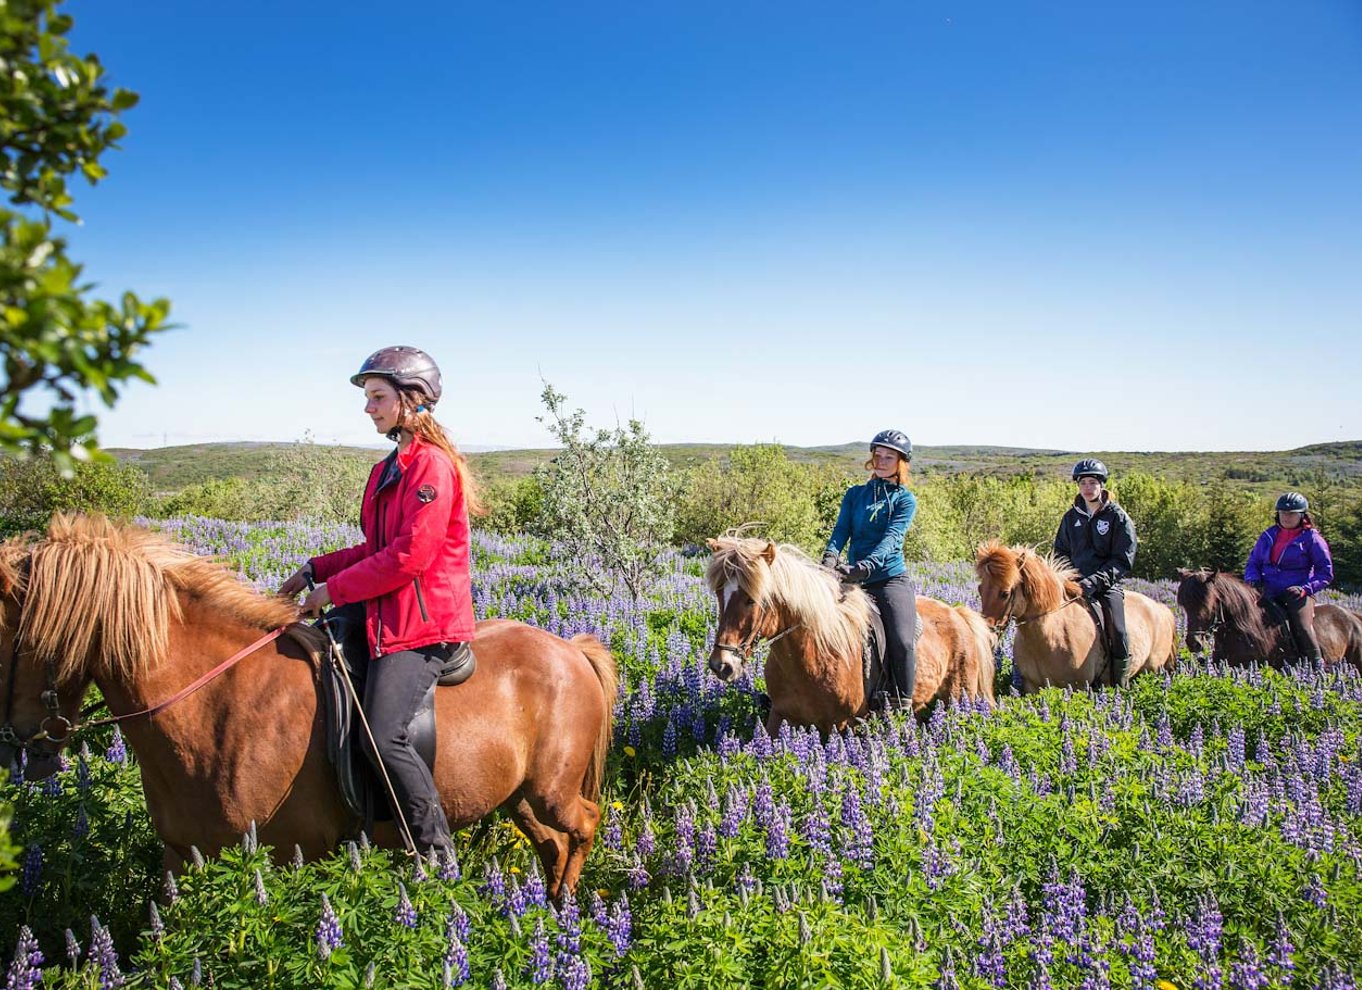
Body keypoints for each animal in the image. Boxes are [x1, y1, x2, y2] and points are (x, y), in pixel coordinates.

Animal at [0, 514, 618, 893]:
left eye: (10, 635)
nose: (18, 744)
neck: (215, 707)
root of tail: (572, 648)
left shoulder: (289, 855)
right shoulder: (182, 856)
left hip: (550, 790)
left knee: (584, 825)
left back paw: (565, 910)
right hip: (518, 798)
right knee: (552, 845)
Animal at [702, 533, 991, 735]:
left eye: (751, 600)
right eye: (719, 593)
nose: (721, 665)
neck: (810, 656)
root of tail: (958, 614)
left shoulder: (843, 724)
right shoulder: (781, 716)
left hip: (958, 697)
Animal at [975, 539, 1176, 694]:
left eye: (1005, 593)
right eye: (980, 589)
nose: (988, 635)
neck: (1049, 637)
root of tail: (1162, 609)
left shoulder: (1077, 687)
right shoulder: (1033, 687)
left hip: (1151, 669)